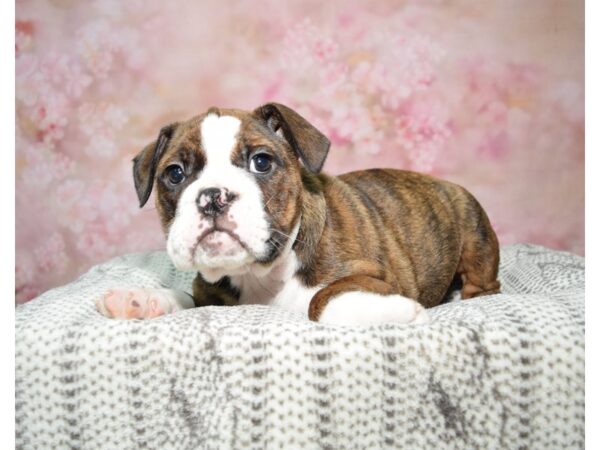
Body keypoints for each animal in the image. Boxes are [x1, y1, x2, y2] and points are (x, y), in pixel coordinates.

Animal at [97, 103, 502, 326]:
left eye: (261, 162)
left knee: (484, 285)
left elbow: (319, 299)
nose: (213, 196)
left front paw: (398, 311)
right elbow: (186, 298)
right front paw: (141, 300)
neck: (260, 276)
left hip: (475, 234)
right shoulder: (210, 296)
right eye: (175, 174)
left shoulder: (376, 275)